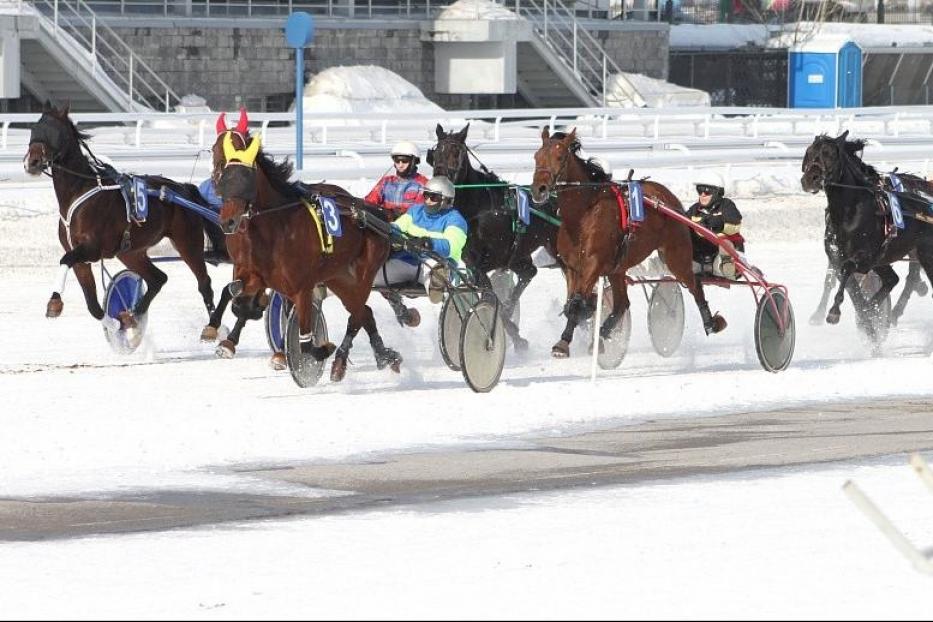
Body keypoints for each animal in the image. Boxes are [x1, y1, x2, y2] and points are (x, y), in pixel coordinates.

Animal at [25, 103, 218, 336]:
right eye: (34, 129)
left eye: (55, 132)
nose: (32, 162)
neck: (80, 190)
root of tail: (183, 188)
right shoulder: (80, 257)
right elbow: (94, 306)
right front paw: (117, 322)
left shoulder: (92, 249)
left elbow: (65, 261)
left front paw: (54, 303)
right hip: (130, 252)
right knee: (157, 279)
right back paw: (133, 314)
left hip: (188, 243)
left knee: (204, 283)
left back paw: (214, 329)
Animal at [215, 132, 400, 386]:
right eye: (225, 178)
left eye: (246, 178)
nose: (227, 222)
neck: (276, 226)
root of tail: (377, 214)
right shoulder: (258, 275)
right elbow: (234, 293)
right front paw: (225, 338)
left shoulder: (301, 286)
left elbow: (305, 341)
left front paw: (318, 351)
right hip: (338, 278)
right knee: (364, 313)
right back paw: (383, 356)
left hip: (364, 274)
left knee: (357, 315)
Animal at [424, 122, 556, 352]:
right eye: (436, 152)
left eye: (457, 152)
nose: (439, 186)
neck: (479, 210)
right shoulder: (474, 263)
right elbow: (490, 298)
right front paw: (514, 334)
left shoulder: (488, 261)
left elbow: (492, 299)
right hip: (519, 256)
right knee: (529, 272)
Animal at [528, 129, 724, 358]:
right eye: (536, 156)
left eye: (559, 157)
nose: (539, 189)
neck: (584, 214)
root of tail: (669, 199)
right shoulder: (571, 267)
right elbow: (572, 303)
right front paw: (569, 336)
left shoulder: (593, 264)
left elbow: (577, 304)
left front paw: (562, 343)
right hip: (618, 268)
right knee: (622, 304)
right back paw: (601, 336)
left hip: (676, 255)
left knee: (694, 285)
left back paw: (711, 322)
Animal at [796, 131, 932, 342]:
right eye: (809, 152)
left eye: (830, 154)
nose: (810, 179)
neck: (850, 211)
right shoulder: (838, 255)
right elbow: (839, 282)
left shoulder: (865, 257)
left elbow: (848, 270)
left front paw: (835, 312)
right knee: (893, 279)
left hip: (923, 253)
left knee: (910, 278)